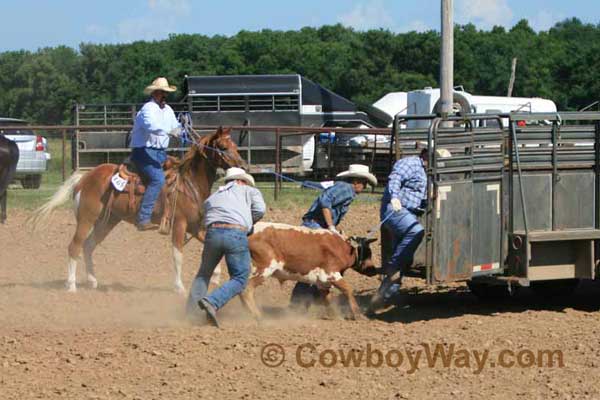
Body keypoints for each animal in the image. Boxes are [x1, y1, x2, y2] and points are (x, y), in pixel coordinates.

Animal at [31, 126, 244, 292]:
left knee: (88, 245)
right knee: (74, 246)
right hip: (86, 218)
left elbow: (212, 246)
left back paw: (92, 281)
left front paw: (215, 276)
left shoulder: (195, 226)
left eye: (235, 145)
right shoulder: (179, 225)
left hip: (107, 221)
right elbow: (177, 256)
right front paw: (179, 287)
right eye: (223, 147)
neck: (188, 183)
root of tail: (84, 178)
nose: (242, 165)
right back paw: (72, 285)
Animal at [240, 223, 378, 320]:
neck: (342, 247)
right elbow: (348, 290)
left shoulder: (322, 281)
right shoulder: (331, 274)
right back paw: (257, 315)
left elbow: (327, 297)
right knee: (246, 290)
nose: (374, 270)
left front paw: (333, 315)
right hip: (262, 269)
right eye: (368, 253)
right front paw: (357, 314)